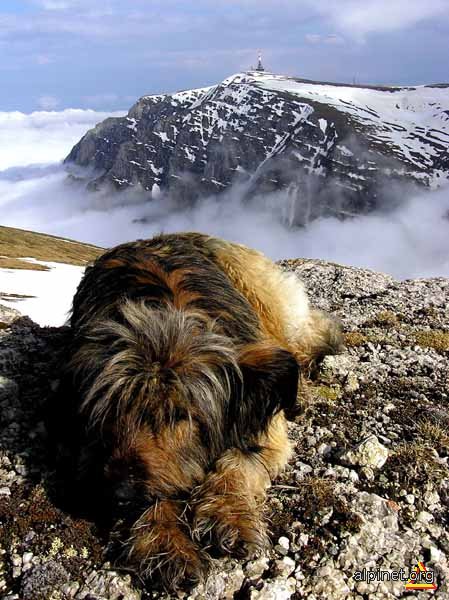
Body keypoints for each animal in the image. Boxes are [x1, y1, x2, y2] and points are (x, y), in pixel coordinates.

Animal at [57, 233, 342, 592]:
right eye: (112, 408)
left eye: (181, 415)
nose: (120, 494)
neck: (170, 309)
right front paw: (164, 541)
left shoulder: (264, 425)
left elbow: (239, 462)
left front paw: (227, 514)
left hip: (263, 296)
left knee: (298, 339)